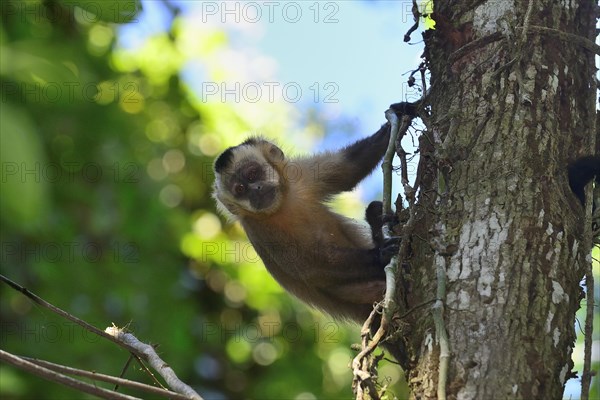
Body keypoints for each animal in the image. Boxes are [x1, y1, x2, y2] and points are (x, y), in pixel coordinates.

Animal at [212, 125, 398, 322]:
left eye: (252, 174)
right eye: (240, 189)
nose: (256, 190)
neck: (282, 205)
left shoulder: (301, 175)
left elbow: (349, 169)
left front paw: (395, 122)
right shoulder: (259, 230)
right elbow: (312, 269)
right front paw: (380, 255)